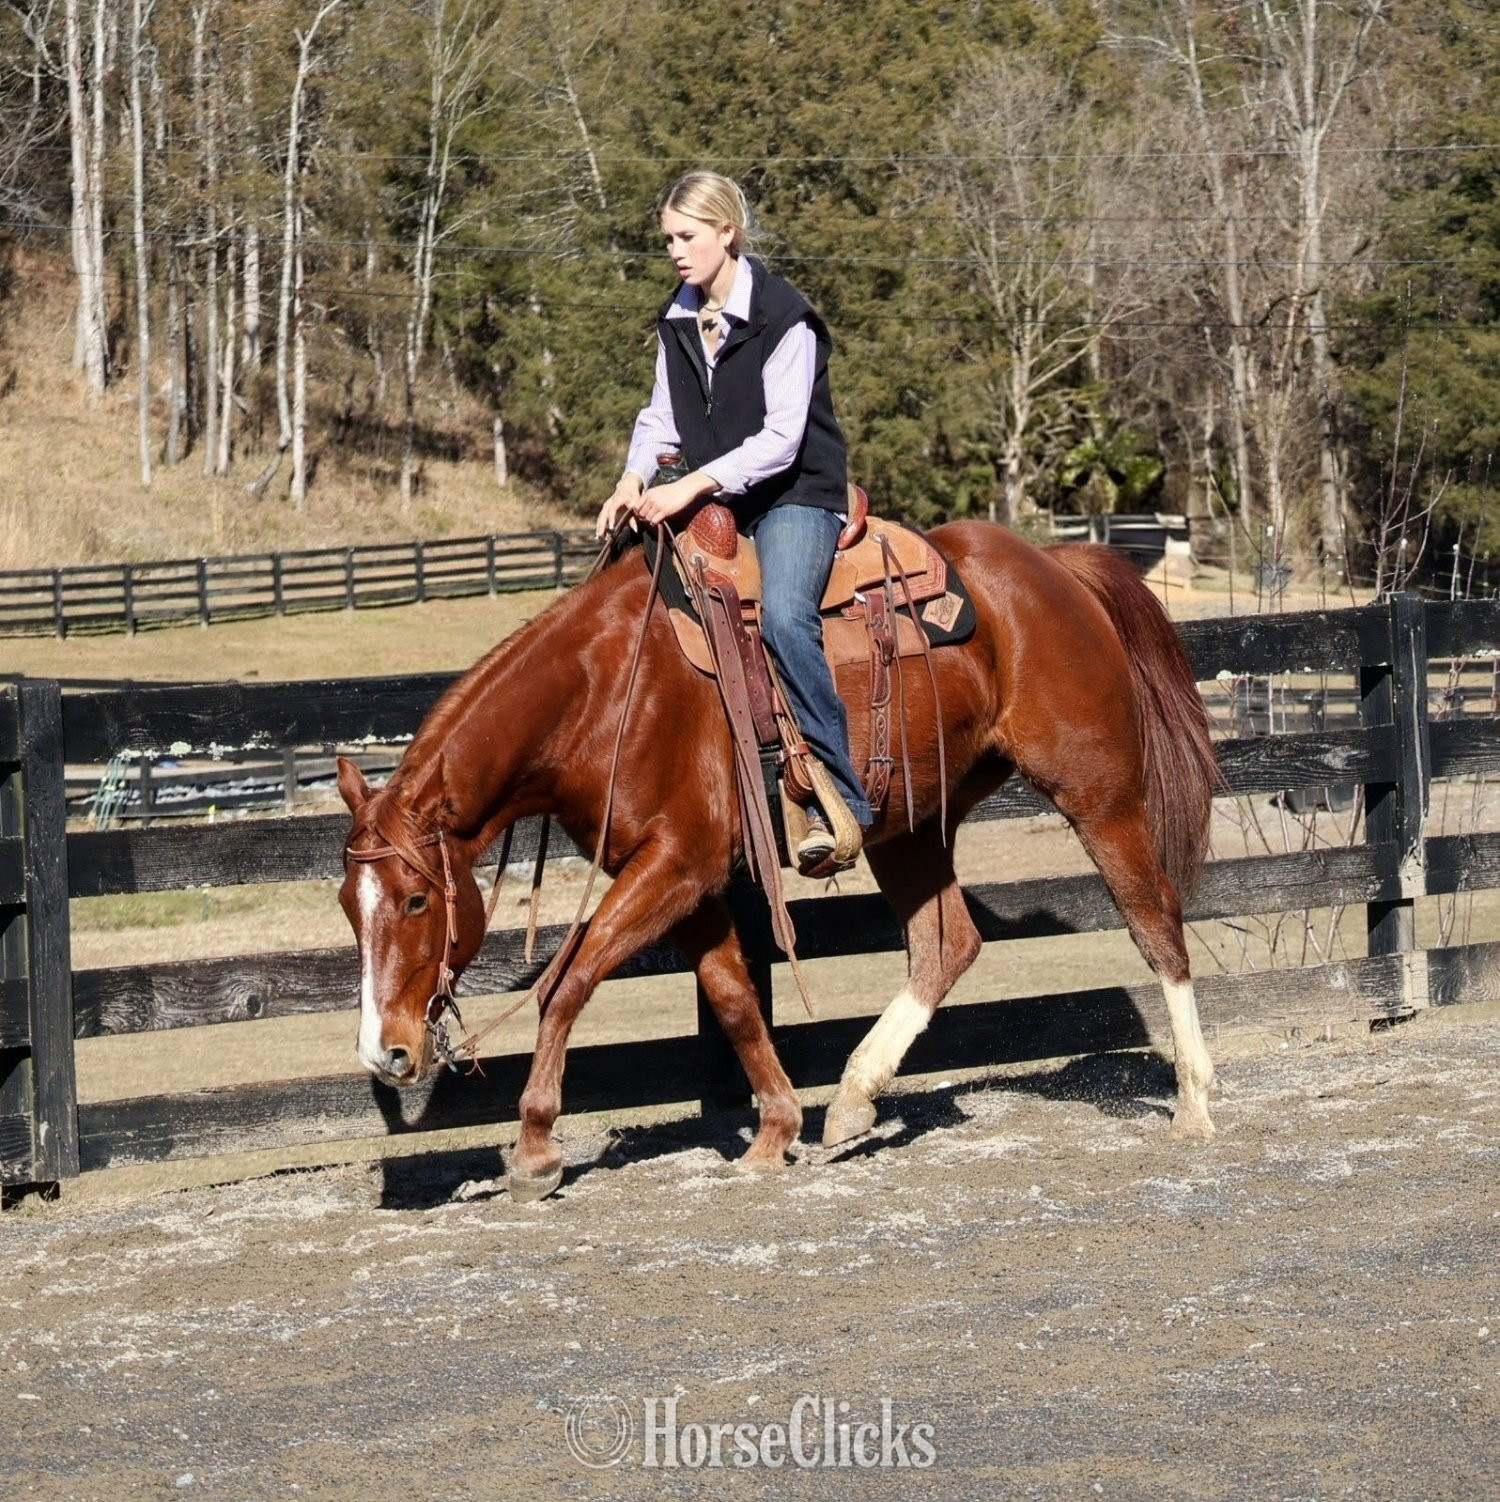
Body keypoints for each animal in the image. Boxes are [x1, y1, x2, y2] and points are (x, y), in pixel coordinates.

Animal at [337, 519, 1220, 1202]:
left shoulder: (676, 863)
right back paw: (854, 1099)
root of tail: (1053, 565)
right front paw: (775, 1131)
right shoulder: (682, 882)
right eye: (352, 906)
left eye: (416, 901)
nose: (387, 1053)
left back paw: (1195, 1102)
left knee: (1156, 921)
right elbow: (732, 998)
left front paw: (534, 1151)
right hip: (907, 827)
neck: (606, 689)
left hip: (1099, 794)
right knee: (947, 943)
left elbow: (568, 982)